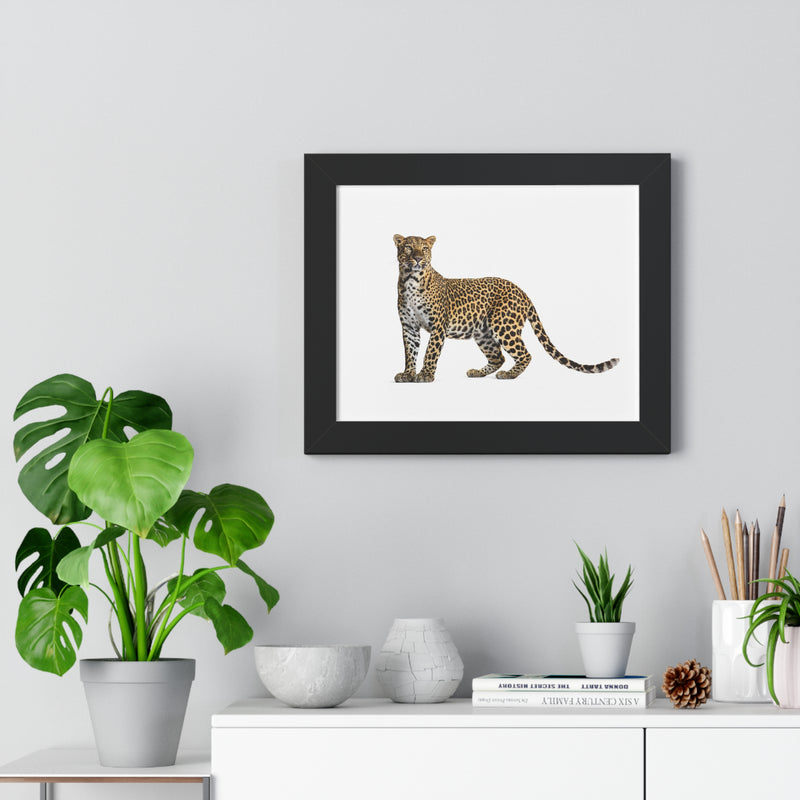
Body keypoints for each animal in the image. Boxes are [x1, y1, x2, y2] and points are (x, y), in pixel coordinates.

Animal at [393, 234, 620, 383]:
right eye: (408, 247)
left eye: (425, 249)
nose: (418, 258)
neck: (410, 280)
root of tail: (522, 291)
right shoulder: (409, 326)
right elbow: (410, 351)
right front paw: (408, 374)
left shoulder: (438, 326)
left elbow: (430, 351)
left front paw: (425, 375)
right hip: (483, 333)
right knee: (498, 356)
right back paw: (478, 372)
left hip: (504, 325)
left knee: (525, 354)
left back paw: (509, 375)